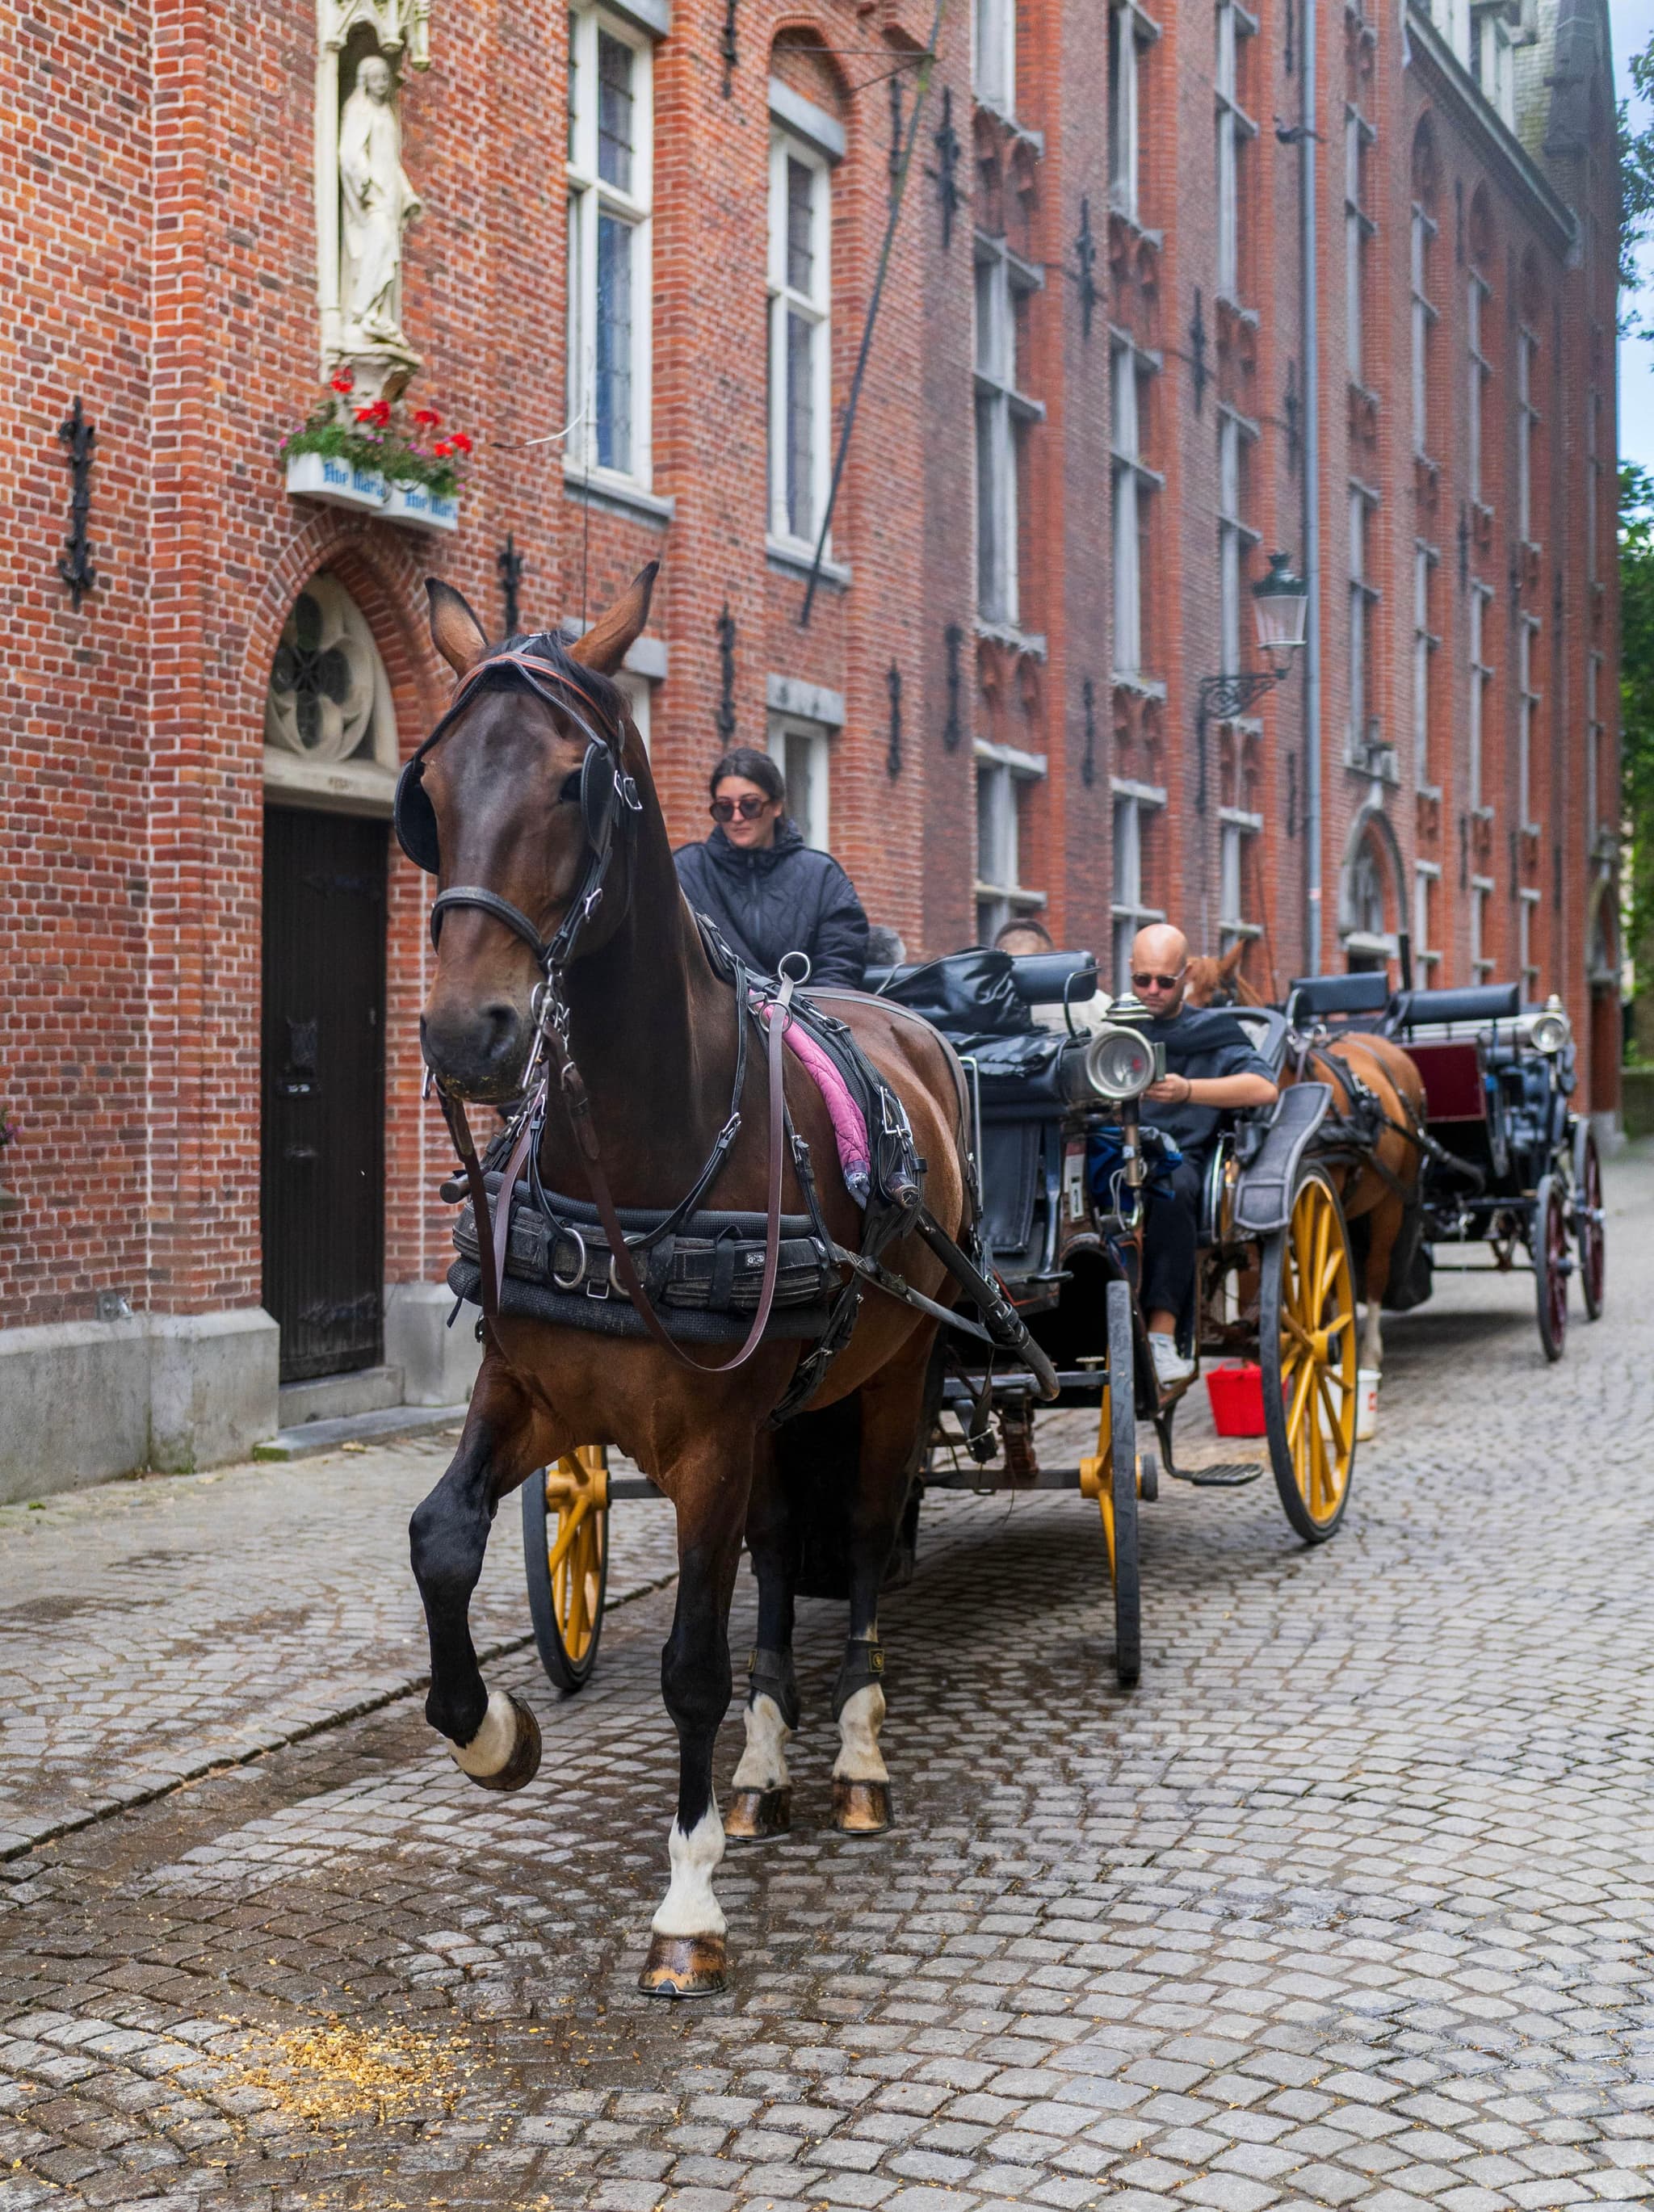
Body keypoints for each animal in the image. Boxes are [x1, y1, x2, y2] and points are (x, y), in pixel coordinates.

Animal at [402, 566, 968, 2008]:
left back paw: (859, 1758)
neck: (638, 1151)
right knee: (777, 1549)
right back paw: (768, 1771)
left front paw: (688, 1903)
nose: (466, 1031)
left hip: (891, 1377)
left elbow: (691, 1664)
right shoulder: (532, 1389)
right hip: (785, 1412)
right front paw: (493, 1730)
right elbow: (442, 1540)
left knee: (861, 1538)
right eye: (429, 787)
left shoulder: (710, 1432)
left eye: (574, 782)